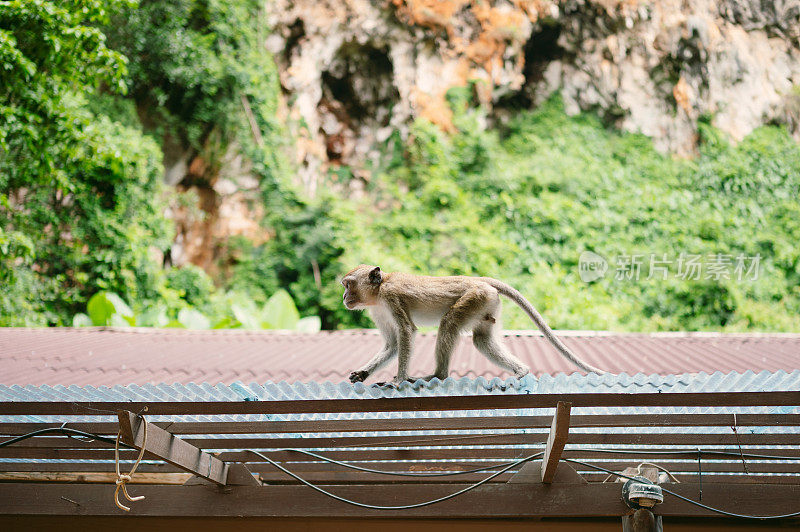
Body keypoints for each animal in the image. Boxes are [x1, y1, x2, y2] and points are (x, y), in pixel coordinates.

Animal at [340, 264, 604, 384]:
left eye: (348, 284)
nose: (343, 297)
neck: (380, 289)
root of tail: (476, 279)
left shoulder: (391, 297)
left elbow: (405, 332)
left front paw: (398, 381)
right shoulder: (378, 311)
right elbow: (393, 344)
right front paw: (363, 373)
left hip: (473, 297)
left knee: (448, 324)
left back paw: (438, 375)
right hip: (486, 303)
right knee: (482, 339)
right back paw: (521, 371)